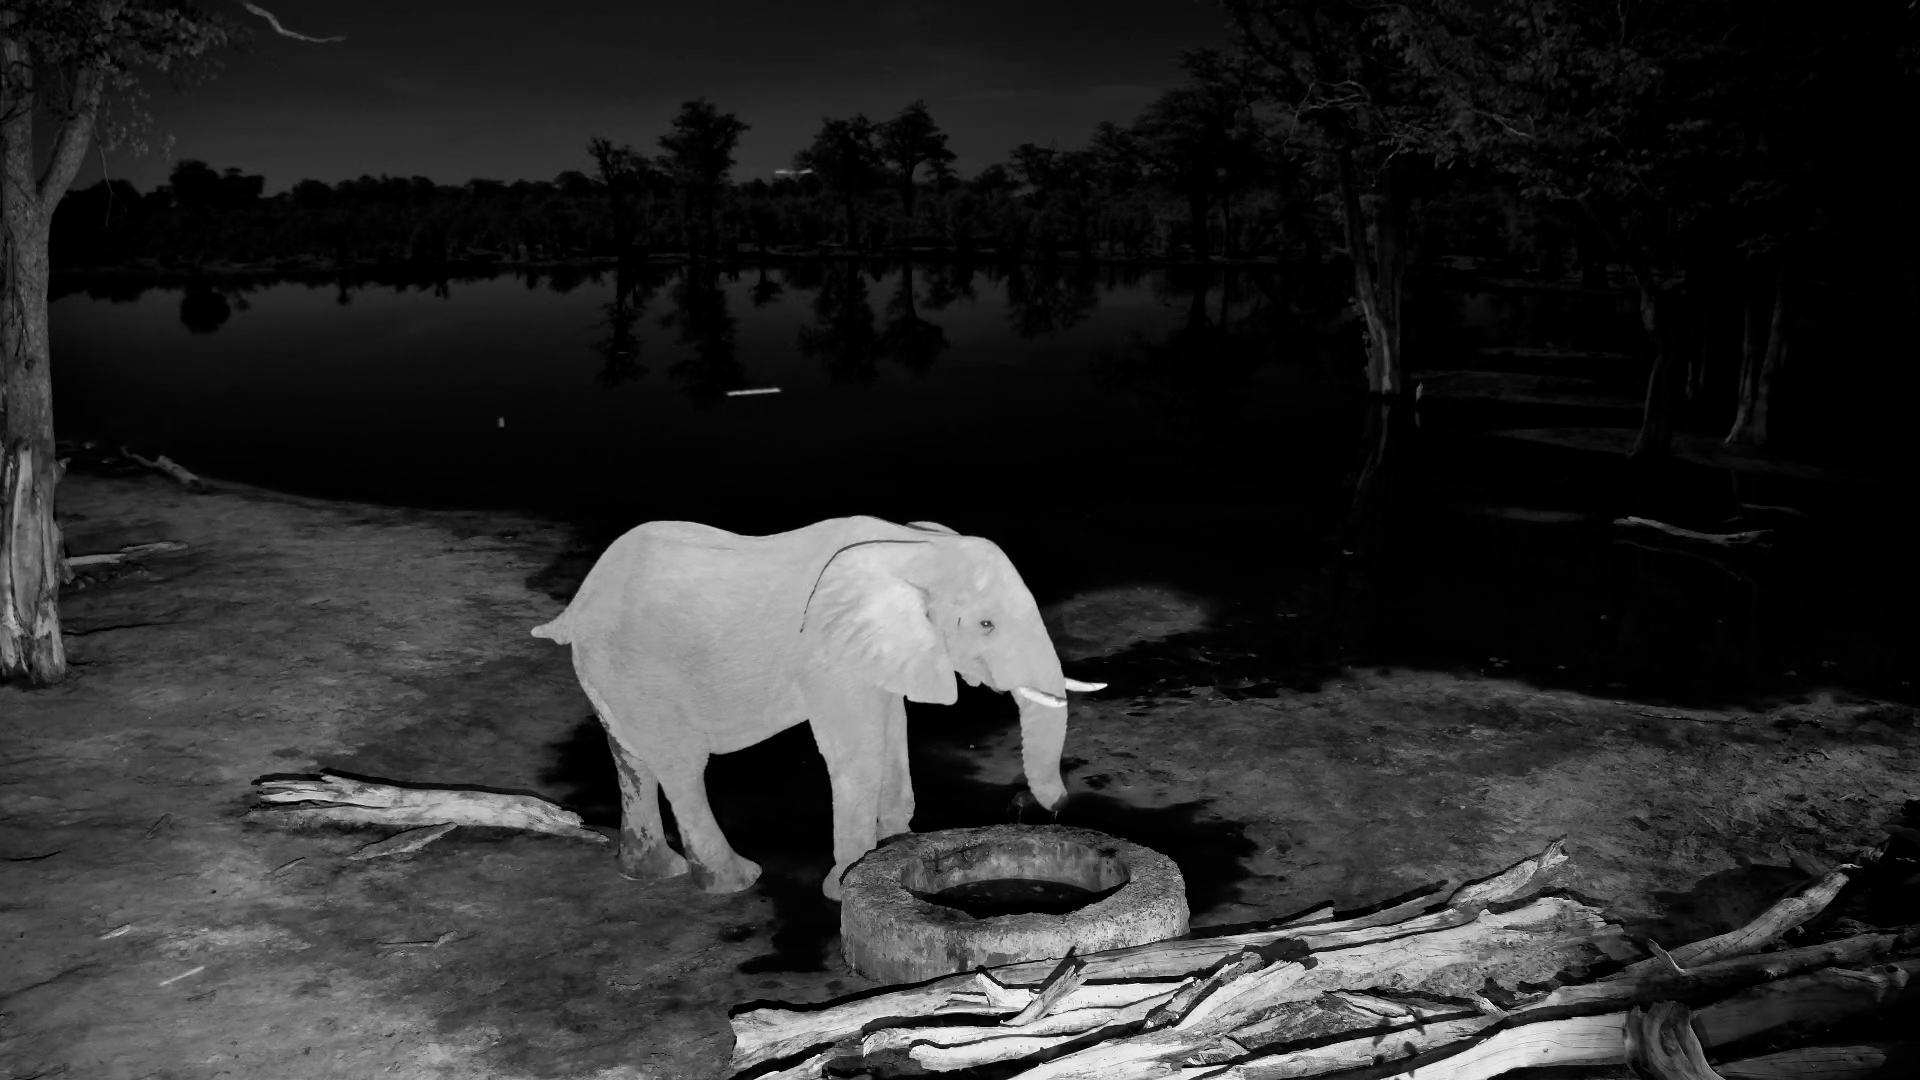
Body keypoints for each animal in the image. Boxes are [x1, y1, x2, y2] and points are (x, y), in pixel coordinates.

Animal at [531, 516, 1104, 899]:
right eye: (986, 624)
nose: (1053, 808)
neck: (916, 548)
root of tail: (574, 607)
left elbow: (893, 732)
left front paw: (894, 848)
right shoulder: (827, 655)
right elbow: (857, 754)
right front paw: (847, 884)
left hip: (611, 671)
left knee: (631, 757)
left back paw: (651, 872)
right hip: (641, 667)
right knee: (680, 764)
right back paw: (734, 881)